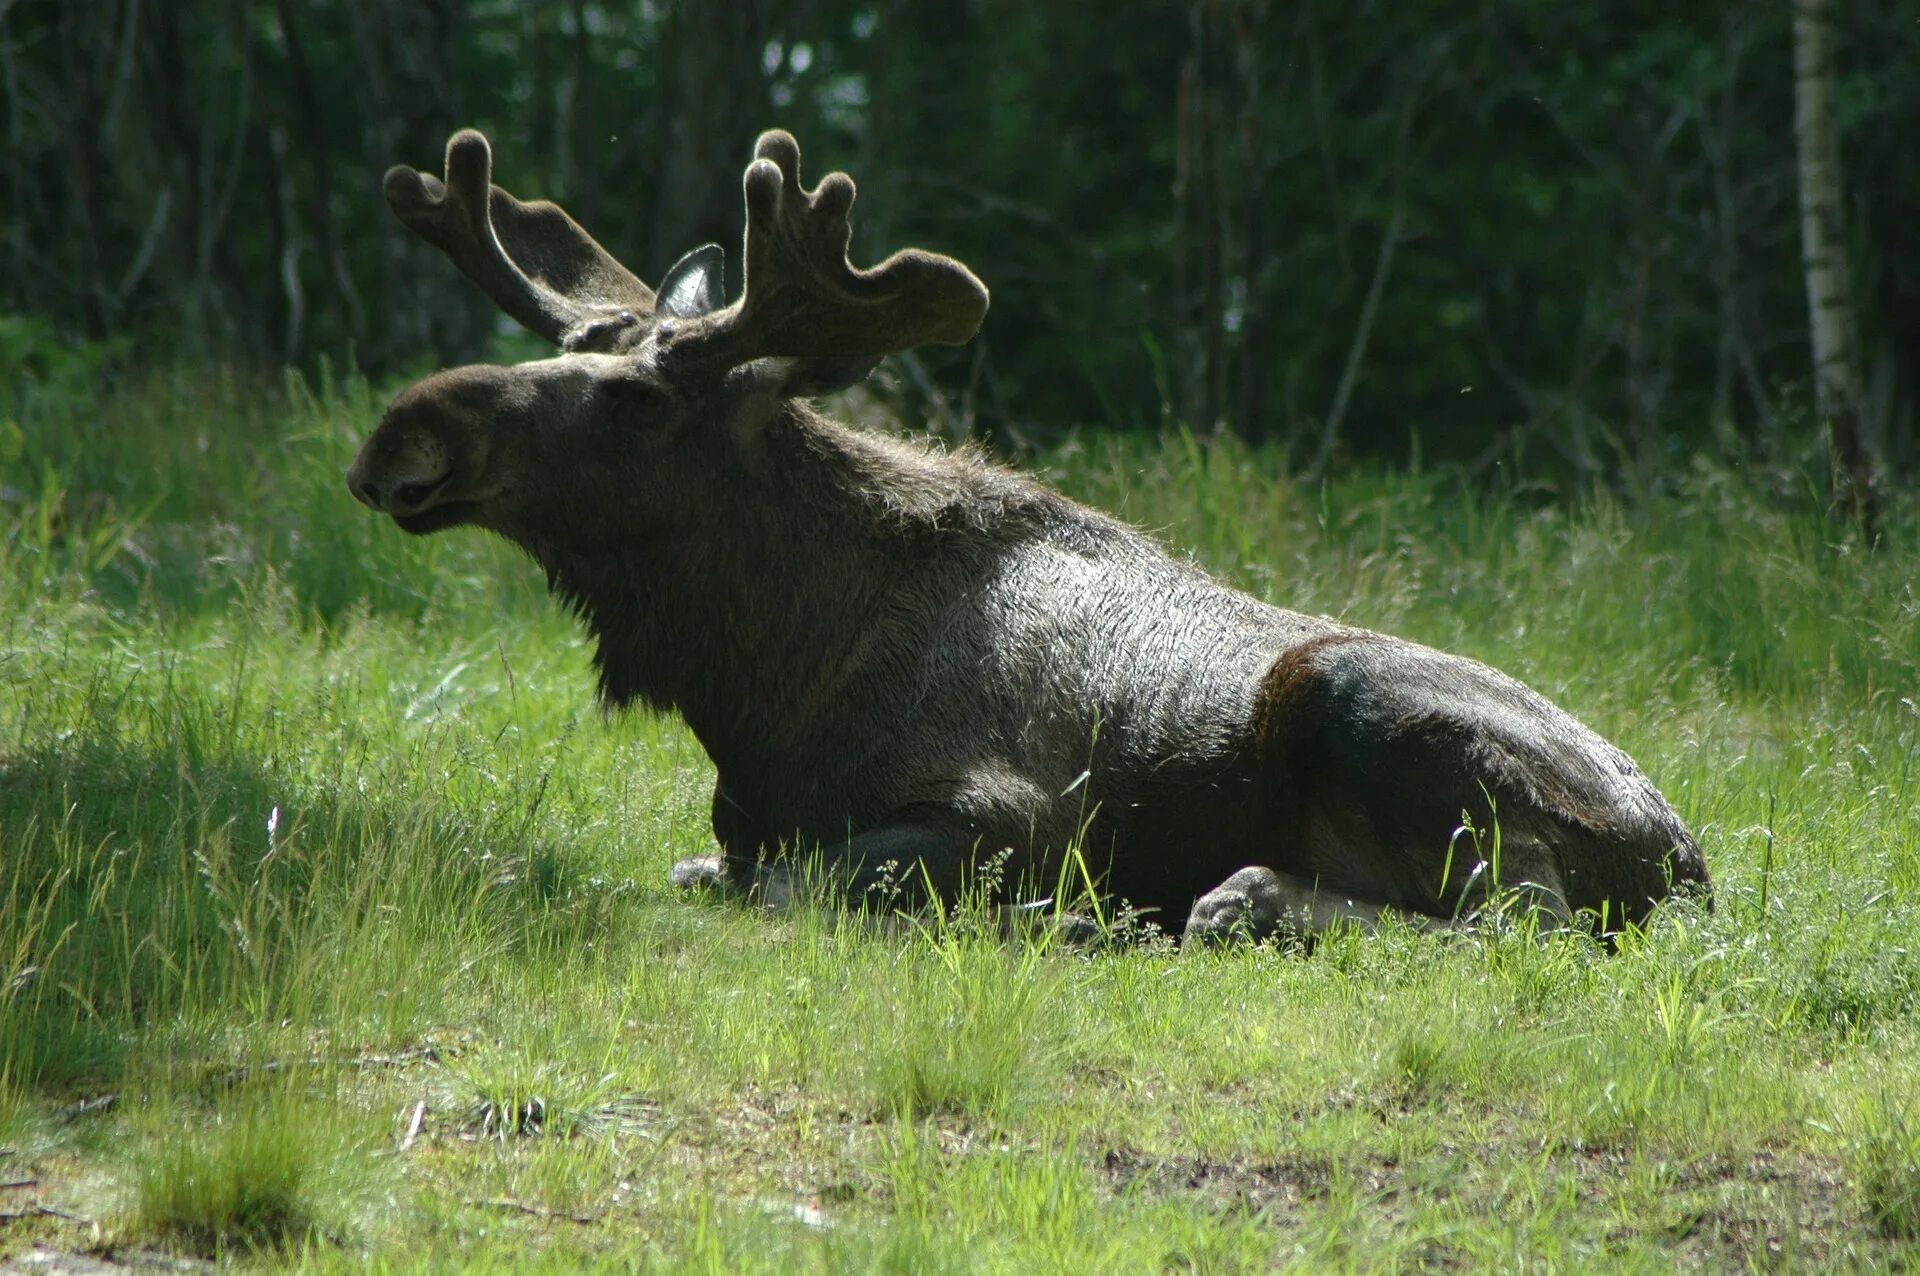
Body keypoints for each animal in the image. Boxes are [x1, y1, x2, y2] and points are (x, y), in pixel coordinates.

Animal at [349, 126, 1712, 944]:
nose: (401, 437)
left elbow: (791, 883)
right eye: (568, 352)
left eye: (636, 399)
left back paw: (1237, 897)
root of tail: (1695, 865)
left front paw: (1063, 920)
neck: (756, 680)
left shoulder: (1017, 816)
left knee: (1520, 919)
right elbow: (713, 868)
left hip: (1357, 697)